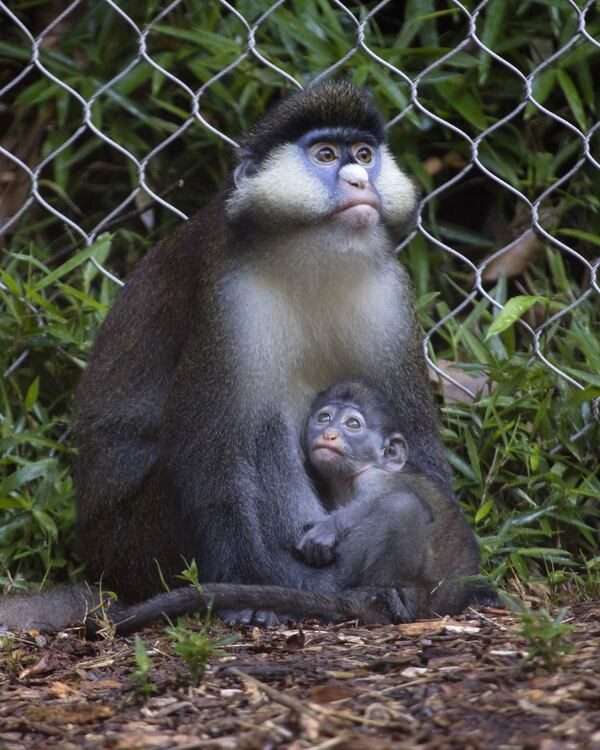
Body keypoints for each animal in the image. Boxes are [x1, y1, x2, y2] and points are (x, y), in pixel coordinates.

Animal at [71, 81, 474, 624]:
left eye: (363, 155)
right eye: (325, 155)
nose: (358, 180)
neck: (308, 259)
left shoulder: (389, 294)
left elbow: (415, 439)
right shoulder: (227, 301)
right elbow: (209, 459)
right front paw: (249, 594)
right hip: (133, 541)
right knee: (266, 420)